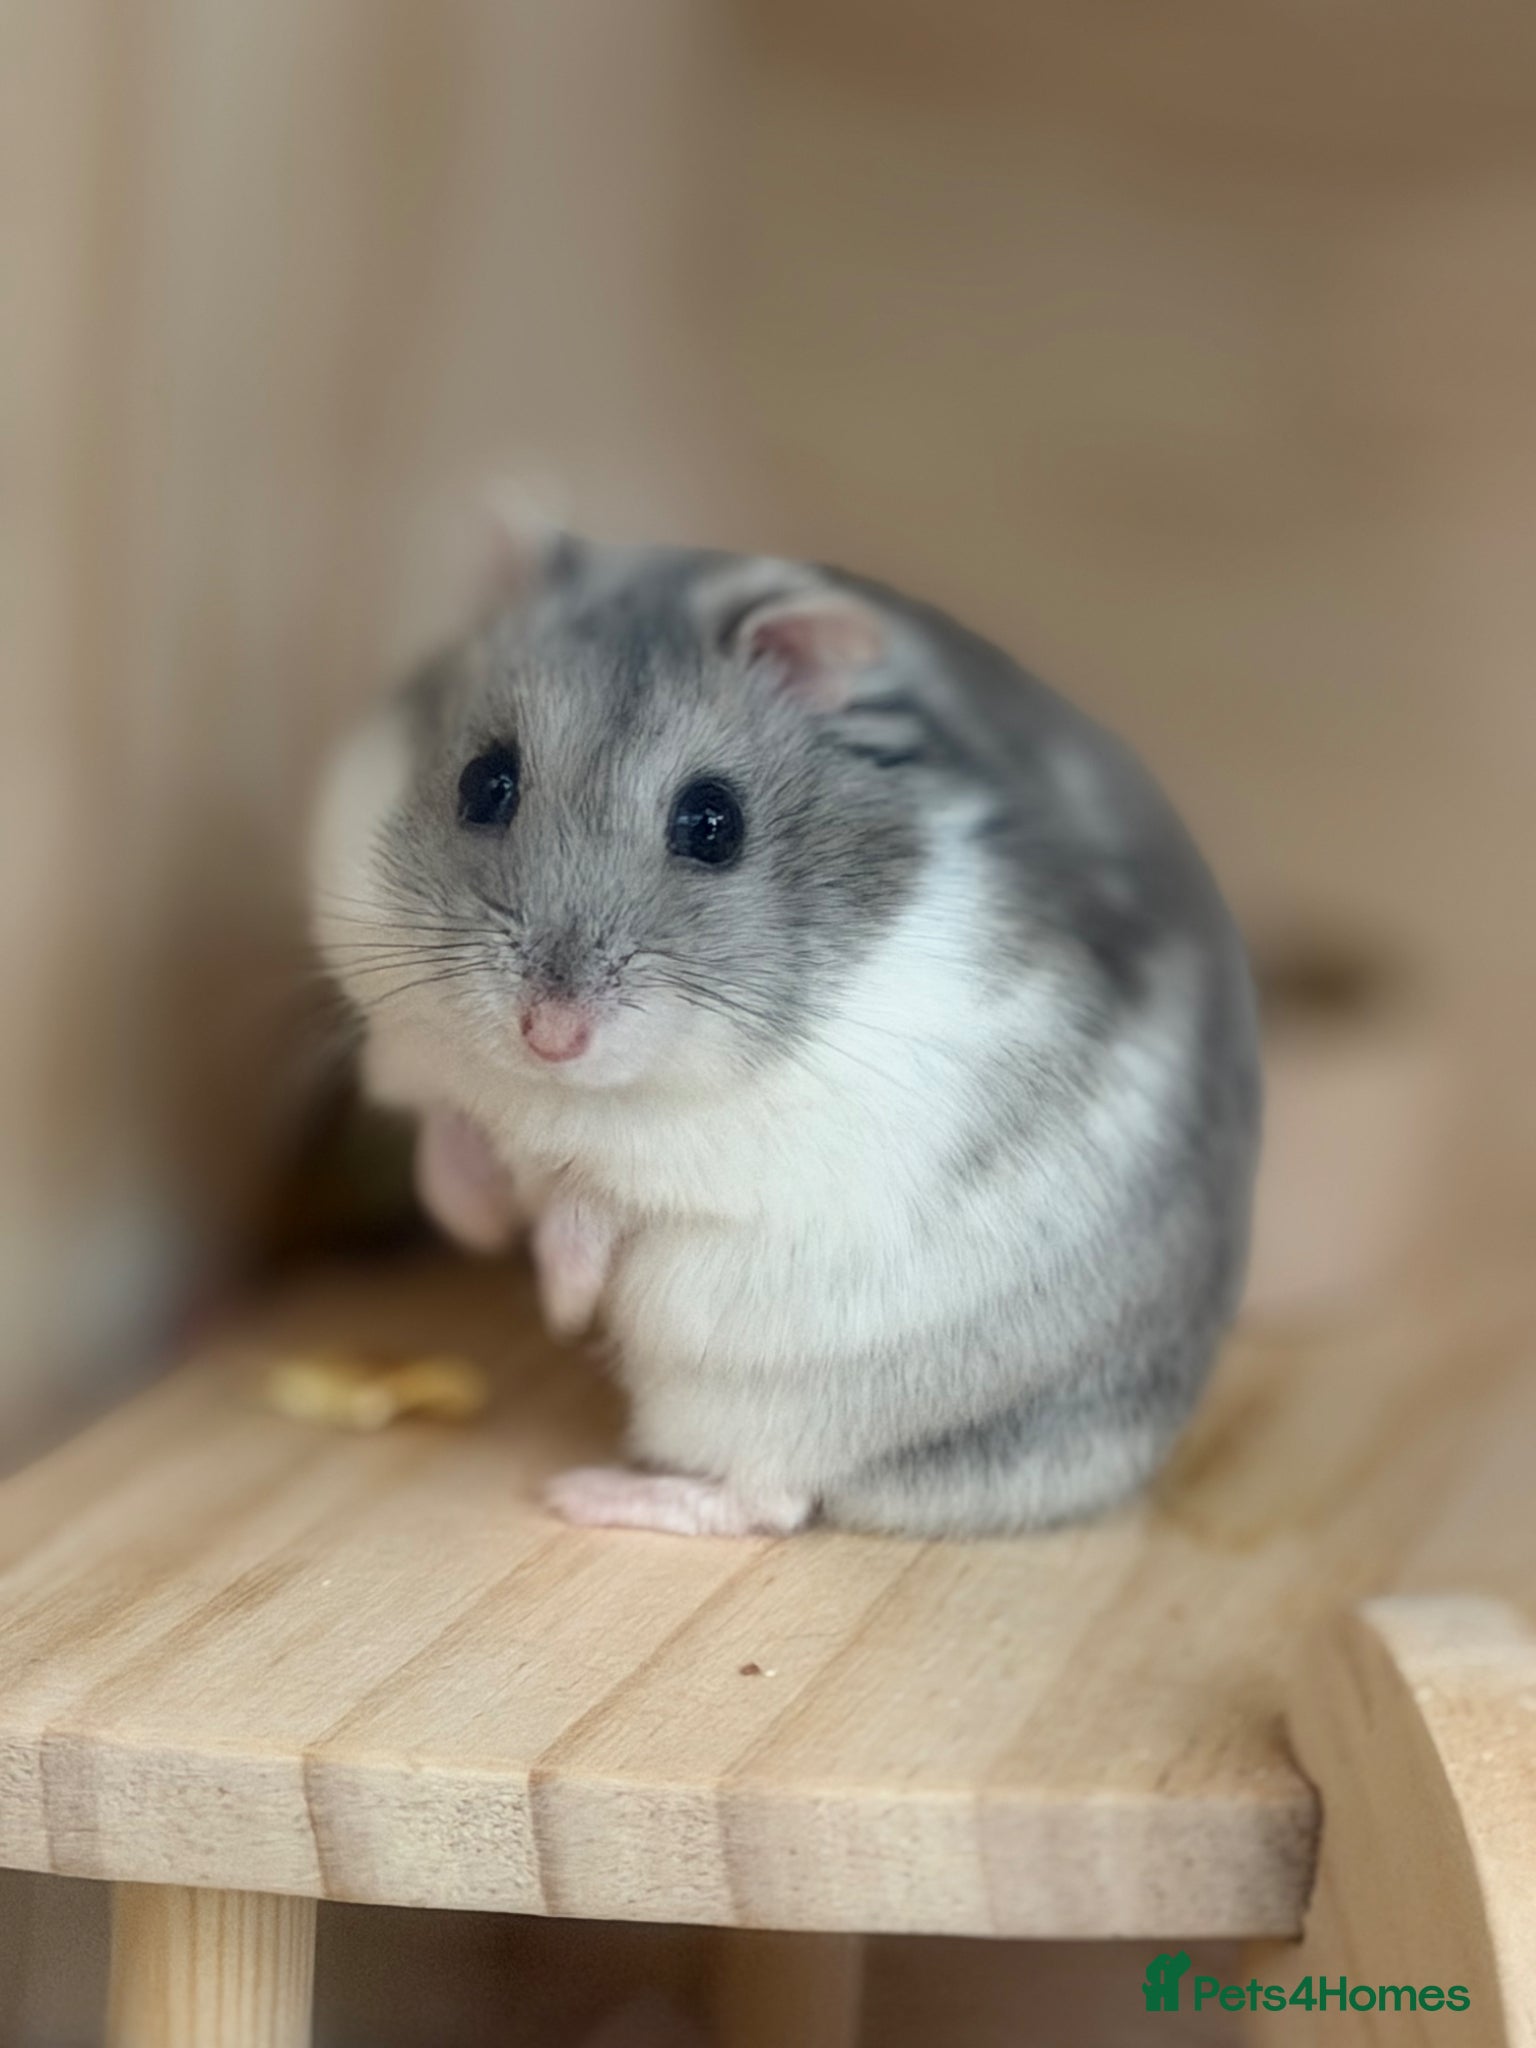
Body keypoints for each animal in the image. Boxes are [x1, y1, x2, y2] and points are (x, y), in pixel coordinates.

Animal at [311, 526, 1260, 1539]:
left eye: (713, 824)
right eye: (484, 783)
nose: (550, 1034)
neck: (558, 1093)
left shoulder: (745, 1154)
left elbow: (603, 1196)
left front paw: (562, 1302)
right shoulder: (412, 1048)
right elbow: (449, 1128)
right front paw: (480, 1216)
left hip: (787, 1391)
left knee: (769, 1499)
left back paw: (590, 1492)